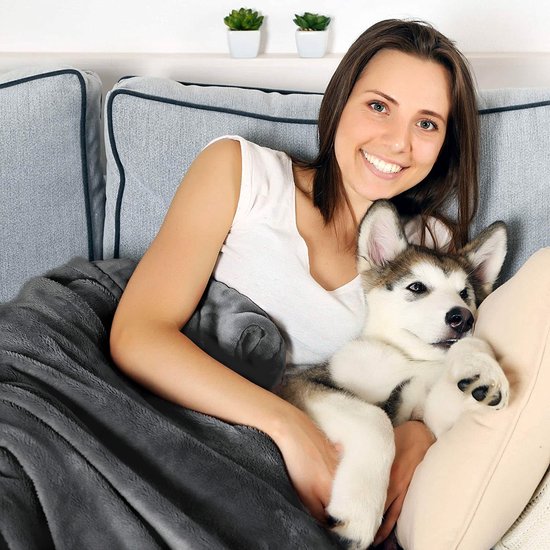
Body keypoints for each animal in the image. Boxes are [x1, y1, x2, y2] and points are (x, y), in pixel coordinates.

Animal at [282, 201, 512, 548]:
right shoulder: (298, 384)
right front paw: (359, 515)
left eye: (465, 294)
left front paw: (479, 366)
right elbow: (376, 420)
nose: (463, 318)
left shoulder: (429, 416)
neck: (408, 359)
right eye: (417, 287)